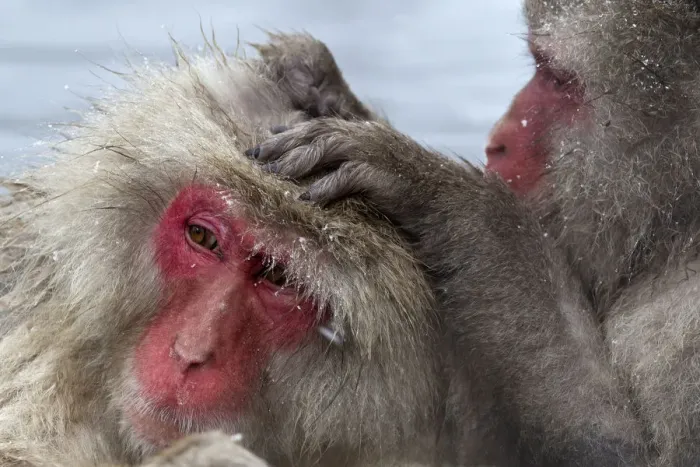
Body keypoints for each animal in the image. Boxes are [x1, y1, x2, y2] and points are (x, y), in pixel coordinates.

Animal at [249, 0, 700, 465]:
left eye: (556, 78)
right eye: (540, 67)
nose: (497, 139)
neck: (673, 233)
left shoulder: (688, 328)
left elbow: (616, 450)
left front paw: (437, 189)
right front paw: (322, 87)